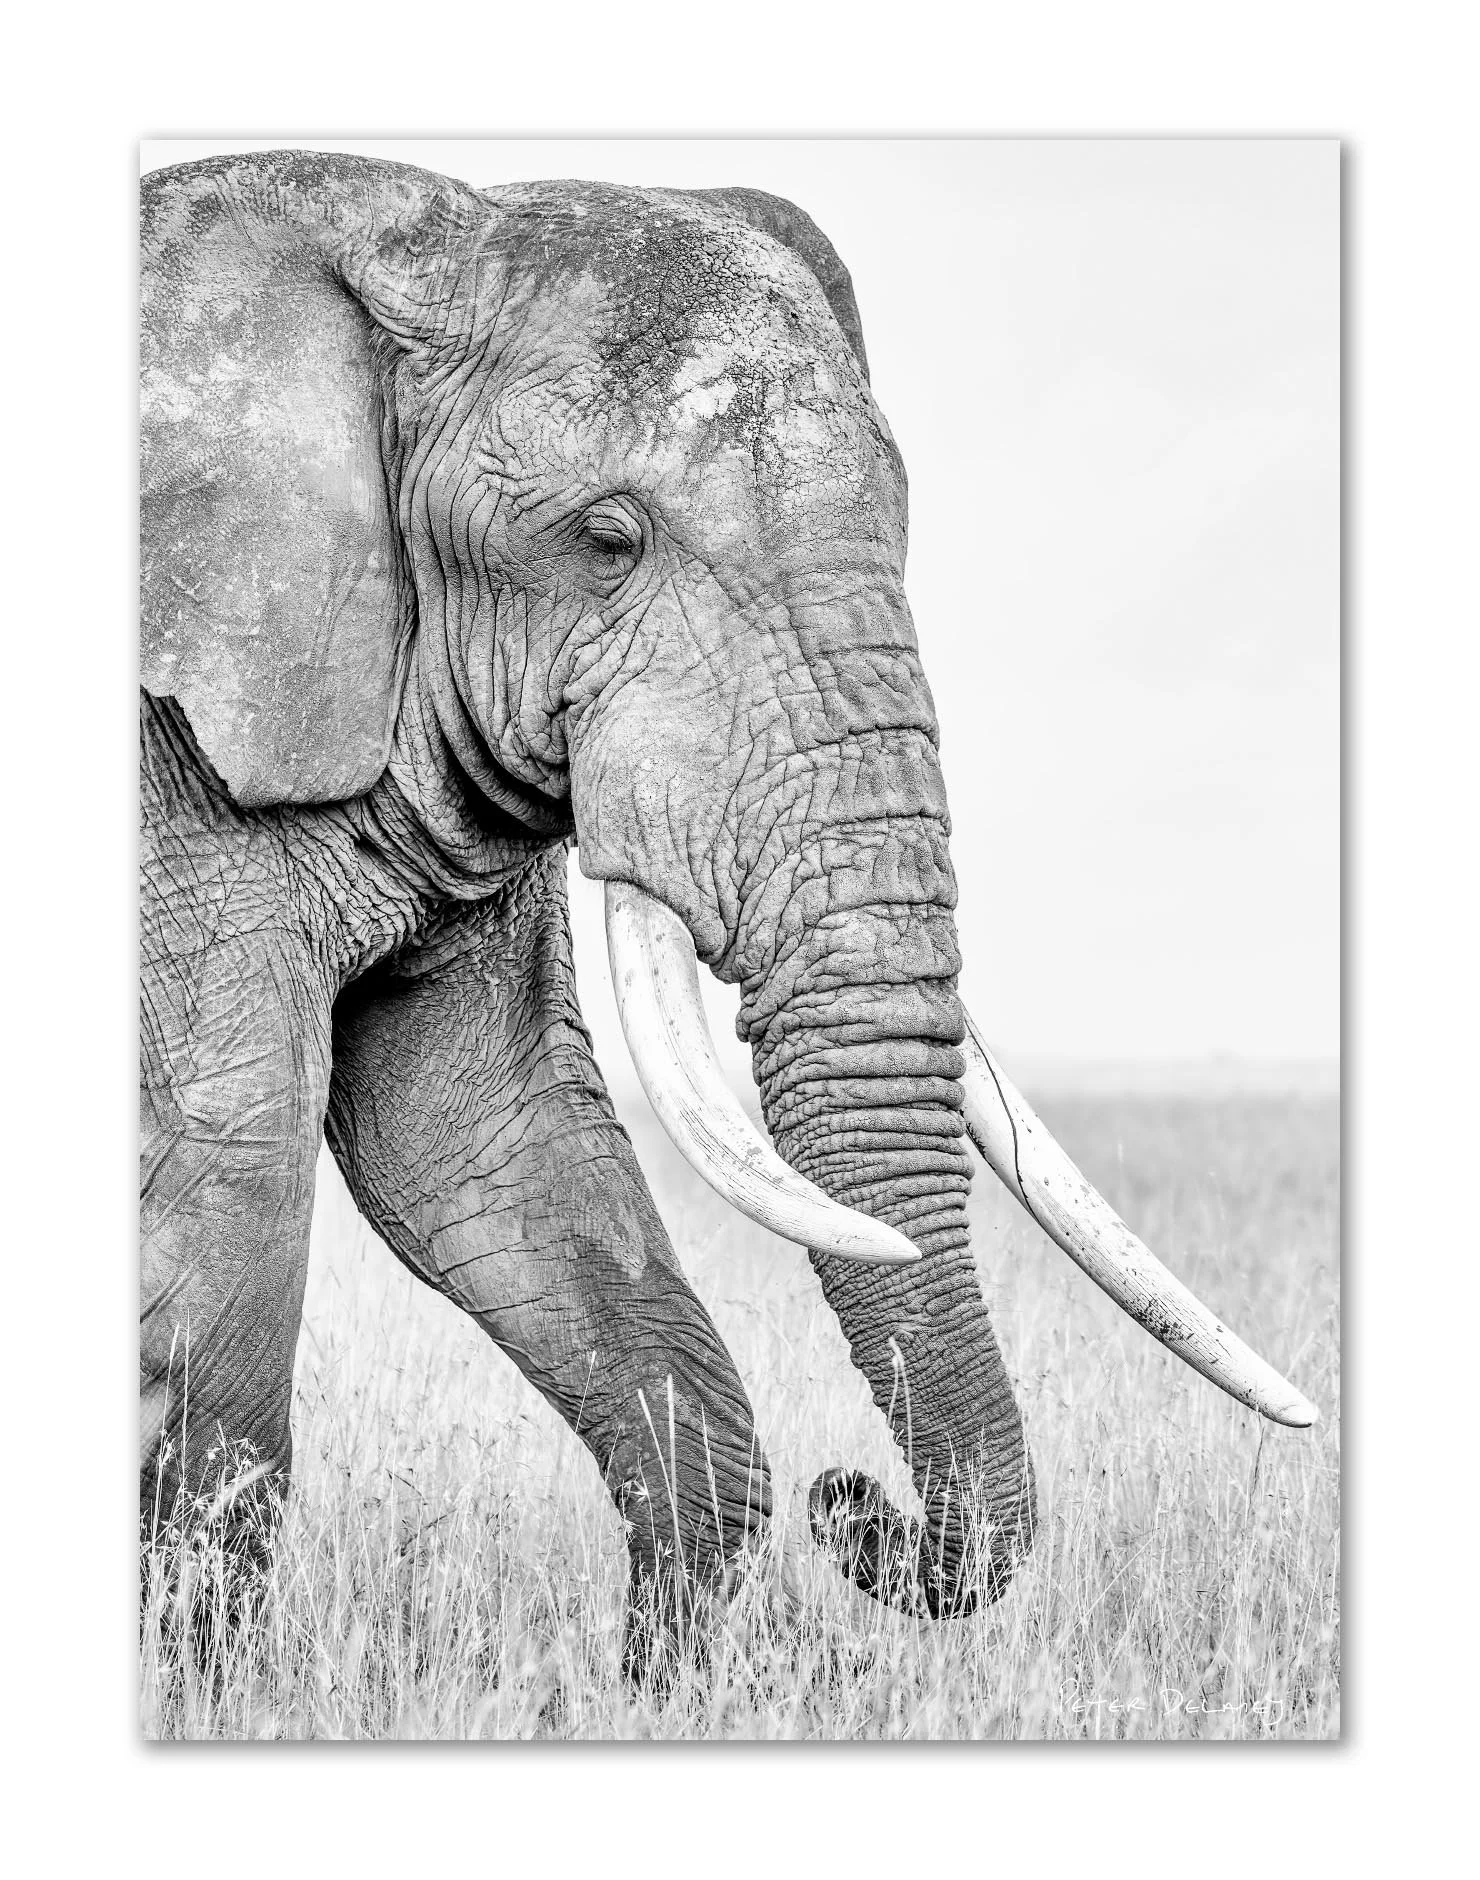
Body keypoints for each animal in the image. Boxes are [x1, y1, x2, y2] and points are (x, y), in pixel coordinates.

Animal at [139, 150, 1315, 1668]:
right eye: (608, 538)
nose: (858, 1507)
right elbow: (232, 1158)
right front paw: (199, 1692)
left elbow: (487, 1137)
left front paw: (652, 1685)